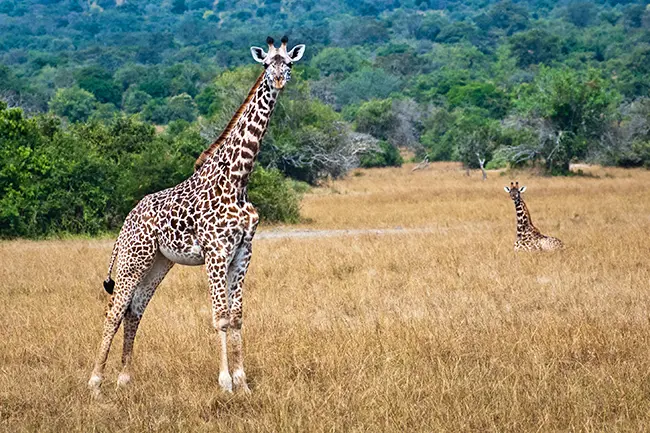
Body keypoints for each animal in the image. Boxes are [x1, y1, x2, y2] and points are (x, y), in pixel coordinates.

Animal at [87, 36, 306, 394]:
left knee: (135, 310)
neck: (238, 180)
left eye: (288, 64)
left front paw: (244, 383)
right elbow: (220, 316)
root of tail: (127, 221)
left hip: (159, 262)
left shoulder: (243, 251)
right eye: (265, 64)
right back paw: (94, 382)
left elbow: (237, 316)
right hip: (133, 259)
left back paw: (124, 379)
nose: (277, 81)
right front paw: (226, 383)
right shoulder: (216, 251)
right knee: (114, 311)